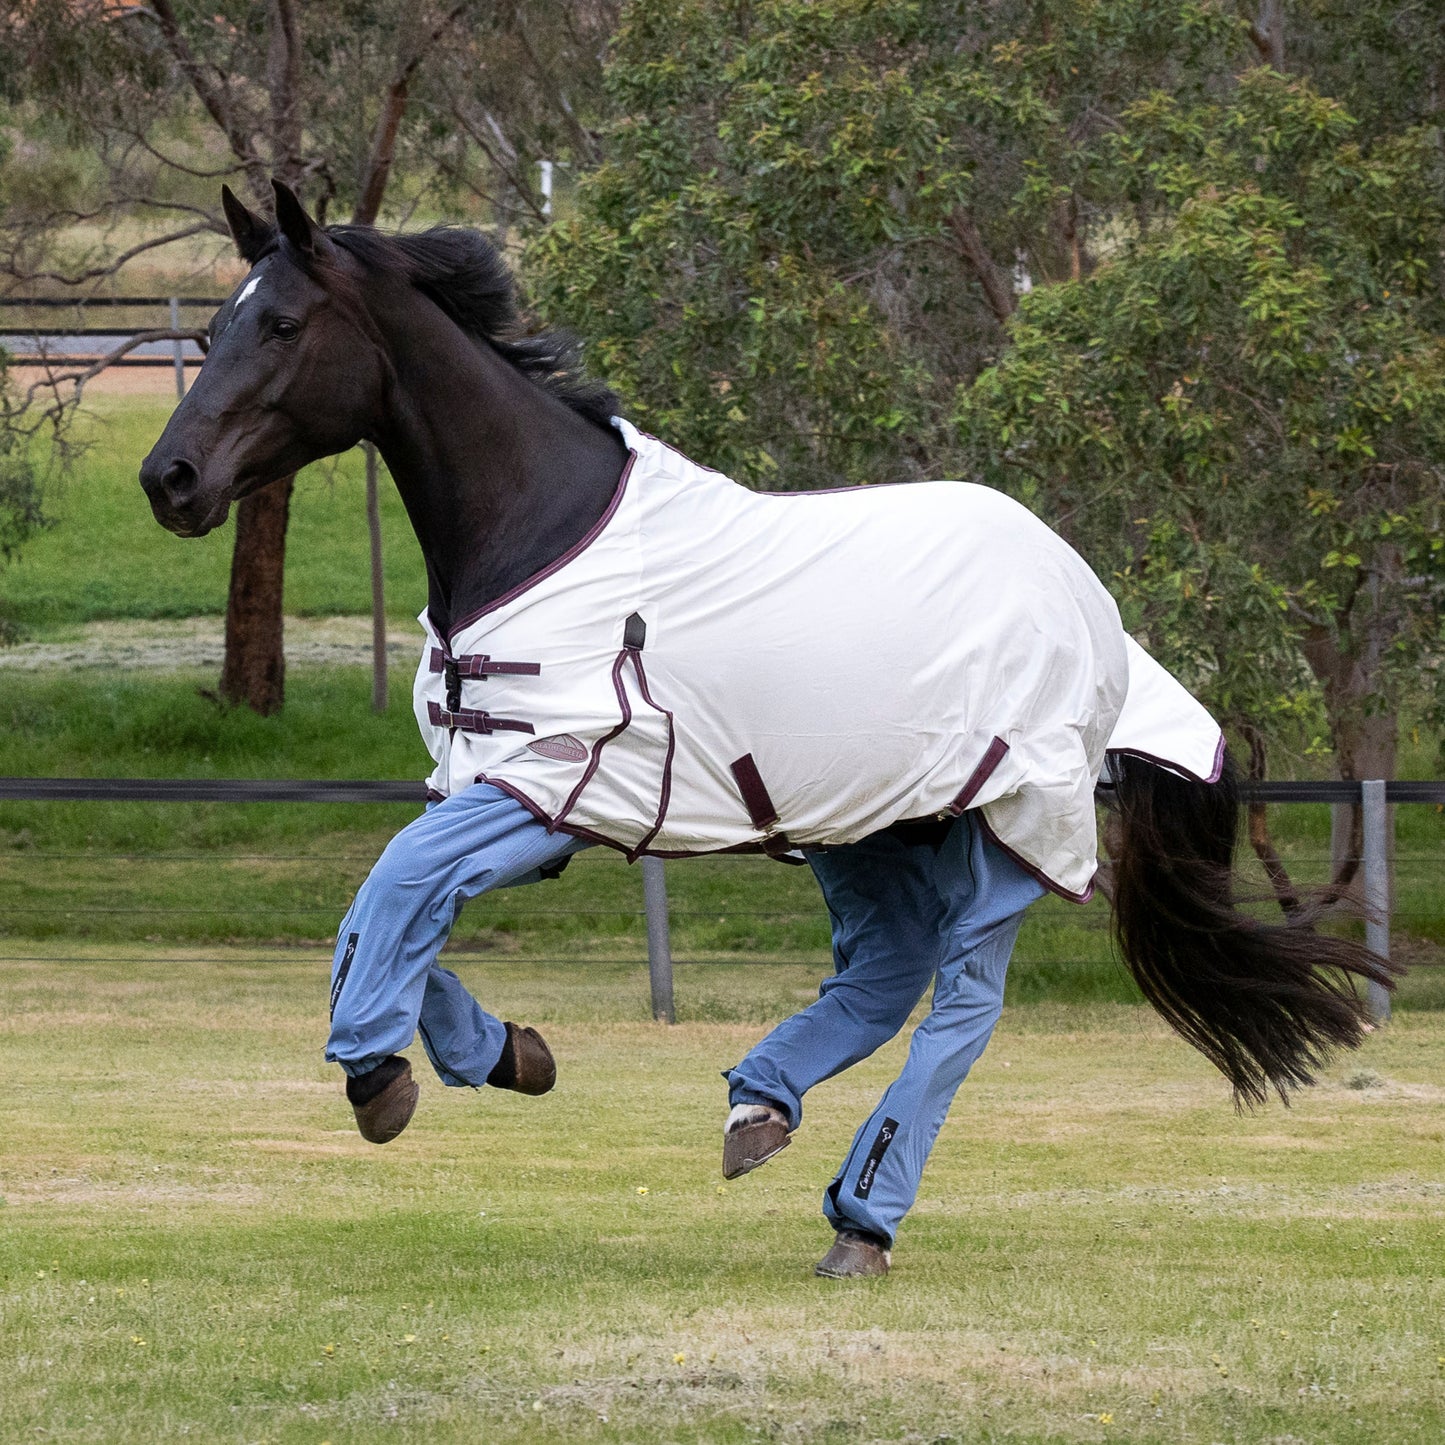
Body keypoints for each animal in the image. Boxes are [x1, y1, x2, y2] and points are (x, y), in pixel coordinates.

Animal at [139, 181, 1394, 1269]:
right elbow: (382, 918)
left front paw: (381, 1078)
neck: (537, 530)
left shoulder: (552, 783)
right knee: (883, 975)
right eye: (212, 323)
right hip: (868, 822)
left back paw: (861, 1217)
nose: (170, 478)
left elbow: (395, 891)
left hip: (1008, 824)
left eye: (283, 321)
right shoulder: (479, 783)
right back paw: (758, 1104)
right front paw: (510, 1053)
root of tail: (1087, 597)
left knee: (959, 1007)